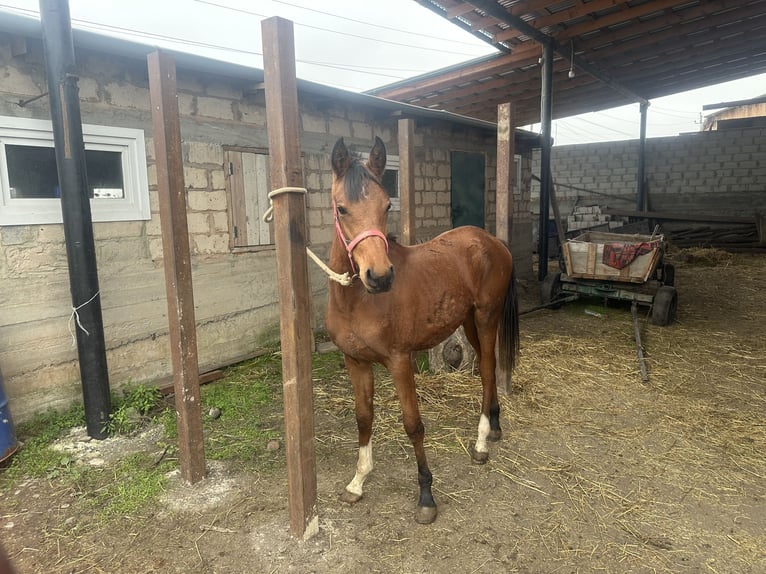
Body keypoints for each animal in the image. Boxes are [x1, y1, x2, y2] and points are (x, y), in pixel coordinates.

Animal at [325, 136, 519, 524]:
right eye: (342, 208)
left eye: (387, 205)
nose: (380, 276)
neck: (356, 300)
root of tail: (493, 242)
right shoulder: (356, 361)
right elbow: (363, 417)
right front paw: (358, 481)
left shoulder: (400, 362)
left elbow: (413, 424)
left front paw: (426, 495)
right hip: (468, 322)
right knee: (486, 371)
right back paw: (494, 427)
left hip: (486, 318)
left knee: (487, 371)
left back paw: (480, 443)